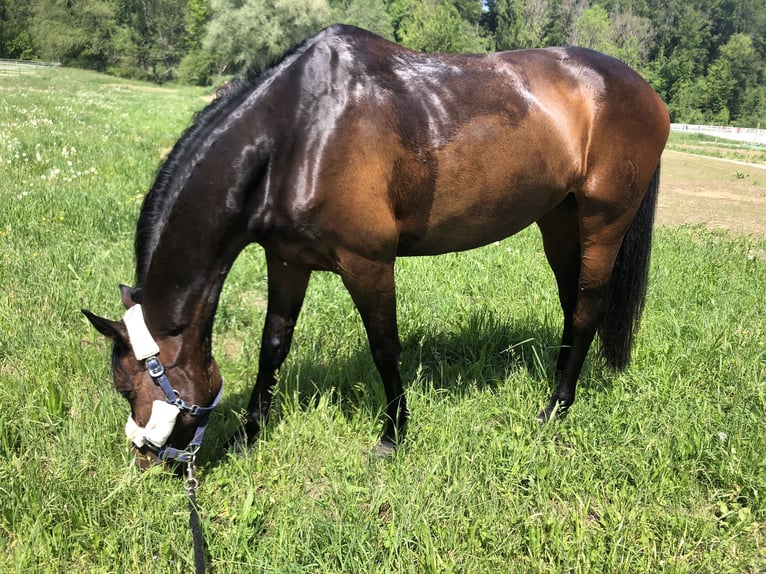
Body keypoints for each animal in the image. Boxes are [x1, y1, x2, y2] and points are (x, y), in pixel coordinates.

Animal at [84, 24, 668, 470]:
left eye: (126, 388)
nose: (144, 463)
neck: (298, 131)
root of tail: (648, 94)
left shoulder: (367, 263)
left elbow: (385, 347)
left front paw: (393, 434)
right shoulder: (287, 261)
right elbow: (273, 346)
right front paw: (249, 436)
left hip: (603, 223)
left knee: (588, 309)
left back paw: (556, 409)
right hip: (559, 221)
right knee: (573, 306)